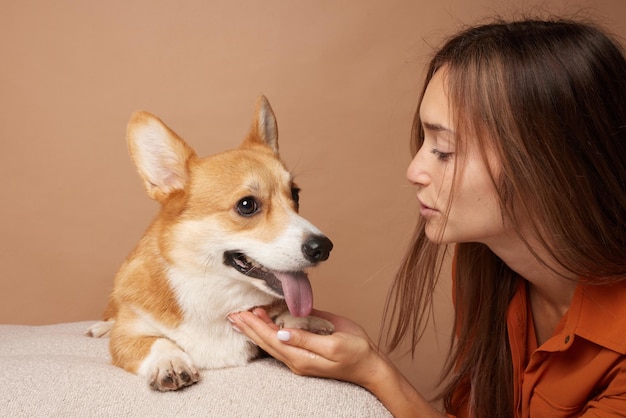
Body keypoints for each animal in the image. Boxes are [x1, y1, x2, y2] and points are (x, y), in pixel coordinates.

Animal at [86, 96, 336, 390]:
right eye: (247, 205)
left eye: (295, 195)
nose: (323, 248)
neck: (213, 289)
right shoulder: (127, 337)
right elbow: (155, 341)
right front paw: (169, 361)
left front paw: (304, 319)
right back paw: (102, 327)